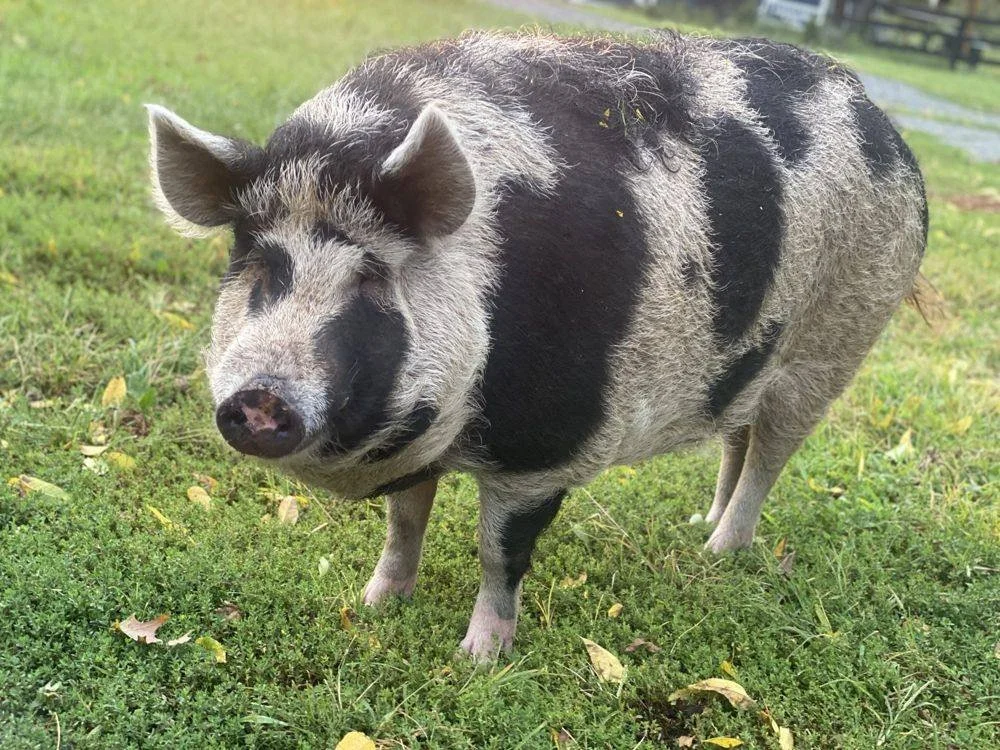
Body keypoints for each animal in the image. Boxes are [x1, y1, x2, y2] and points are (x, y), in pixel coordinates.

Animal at [146, 31, 927, 658]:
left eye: (370, 277)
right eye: (257, 264)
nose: (259, 399)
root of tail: (880, 121)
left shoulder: (548, 447)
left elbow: (500, 551)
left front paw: (478, 659)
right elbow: (404, 521)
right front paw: (374, 605)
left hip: (837, 341)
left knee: (771, 456)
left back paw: (719, 552)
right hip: (756, 355)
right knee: (739, 437)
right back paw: (698, 523)